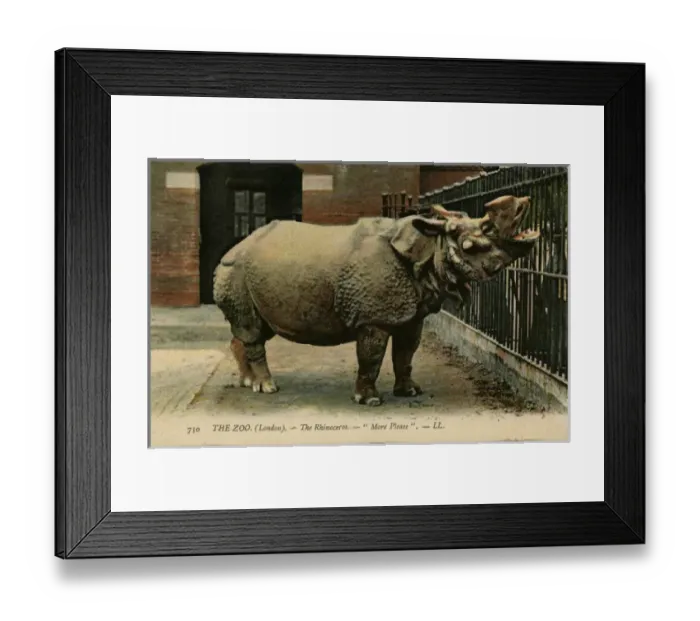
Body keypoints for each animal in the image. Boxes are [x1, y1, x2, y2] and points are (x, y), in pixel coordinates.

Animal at [212, 195, 539, 406]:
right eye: (481, 236)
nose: (523, 203)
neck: (430, 246)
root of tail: (233, 249)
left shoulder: (412, 314)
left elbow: (406, 353)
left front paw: (410, 392)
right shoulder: (374, 316)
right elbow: (372, 356)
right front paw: (369, 400)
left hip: (252, 275)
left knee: (257, 328)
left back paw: (249, 383)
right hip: (235, 271)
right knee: (252, 329)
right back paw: (268, 388)